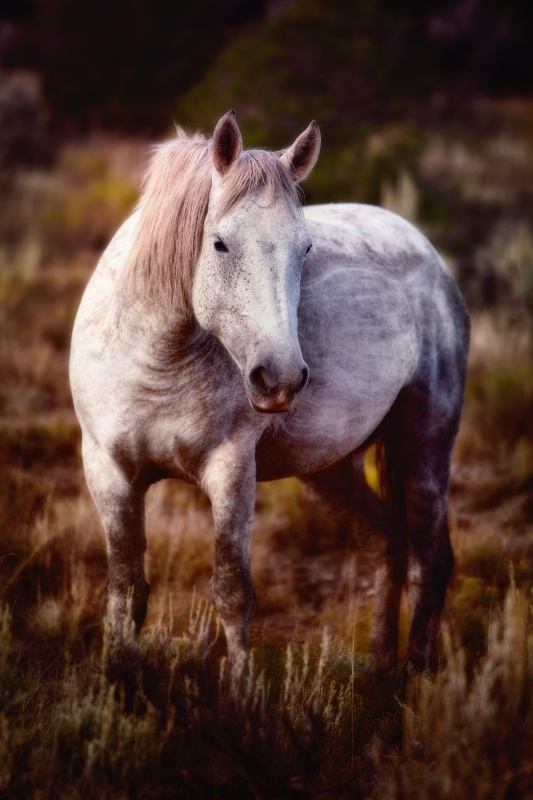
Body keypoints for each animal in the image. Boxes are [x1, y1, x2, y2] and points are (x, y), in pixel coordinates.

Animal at [68, 112, 468, 672]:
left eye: (306, 248)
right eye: (219, 243)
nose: (280, 377)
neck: (155, 362)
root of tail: (426, 250)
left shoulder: (231, 470)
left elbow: (233, 593)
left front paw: (241, 693)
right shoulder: (108, 473)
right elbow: (127, 591)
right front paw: (119, 681)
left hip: (425, 445)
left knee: (429, 561)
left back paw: (416, 677)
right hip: (330, 470)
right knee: (388, 545)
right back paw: (375, 673)